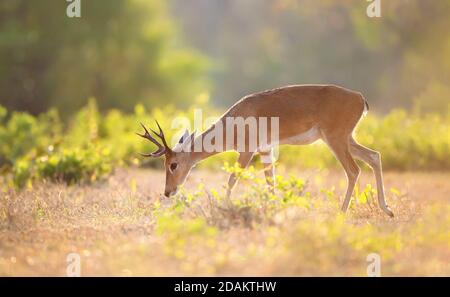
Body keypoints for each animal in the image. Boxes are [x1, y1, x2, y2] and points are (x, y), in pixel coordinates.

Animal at [137, 84, 394, 216]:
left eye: (173, 164)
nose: (167, 192)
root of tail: (360, 98)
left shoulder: (247, 151)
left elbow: (232, 180)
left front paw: (224, 207)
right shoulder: (266, 151)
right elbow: (271, 182)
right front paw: (273, 208)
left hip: (336, 139)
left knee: (353, 170)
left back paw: (342, 212)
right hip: (347, 138)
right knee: (374, 156)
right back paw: (387, 210)